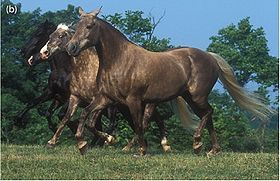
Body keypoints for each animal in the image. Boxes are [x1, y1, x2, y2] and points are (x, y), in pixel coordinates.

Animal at [64, 7, 274, 156]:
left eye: (89, 26)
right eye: (76, 26)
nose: (71, 47)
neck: (119, 60)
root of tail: (210, 57)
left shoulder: (133, 100)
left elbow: (139, 124)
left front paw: (141, 150)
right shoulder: (106, 98)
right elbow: (87, 118)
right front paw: (86, 143)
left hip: (197, 96)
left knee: (208, 113)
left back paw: (198, 143)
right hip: (189, 97)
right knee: (208, 116)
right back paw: (211, 149)